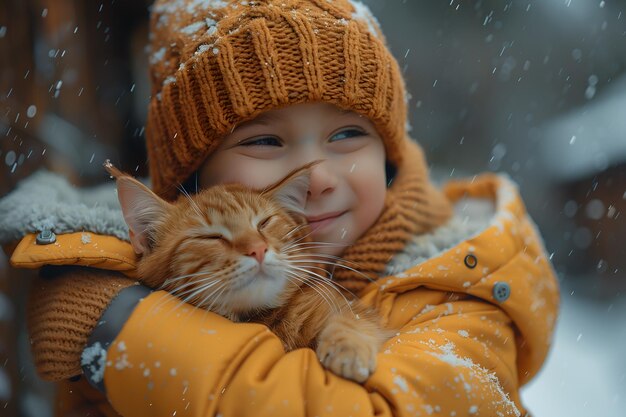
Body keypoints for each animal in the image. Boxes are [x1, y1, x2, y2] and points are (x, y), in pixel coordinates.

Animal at [105, 161, 388, 382]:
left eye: (264, 223)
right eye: (211, 237)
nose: (258, 249)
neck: (263, 320)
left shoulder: (347, 308)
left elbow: (352, 319)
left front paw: (349, 346)